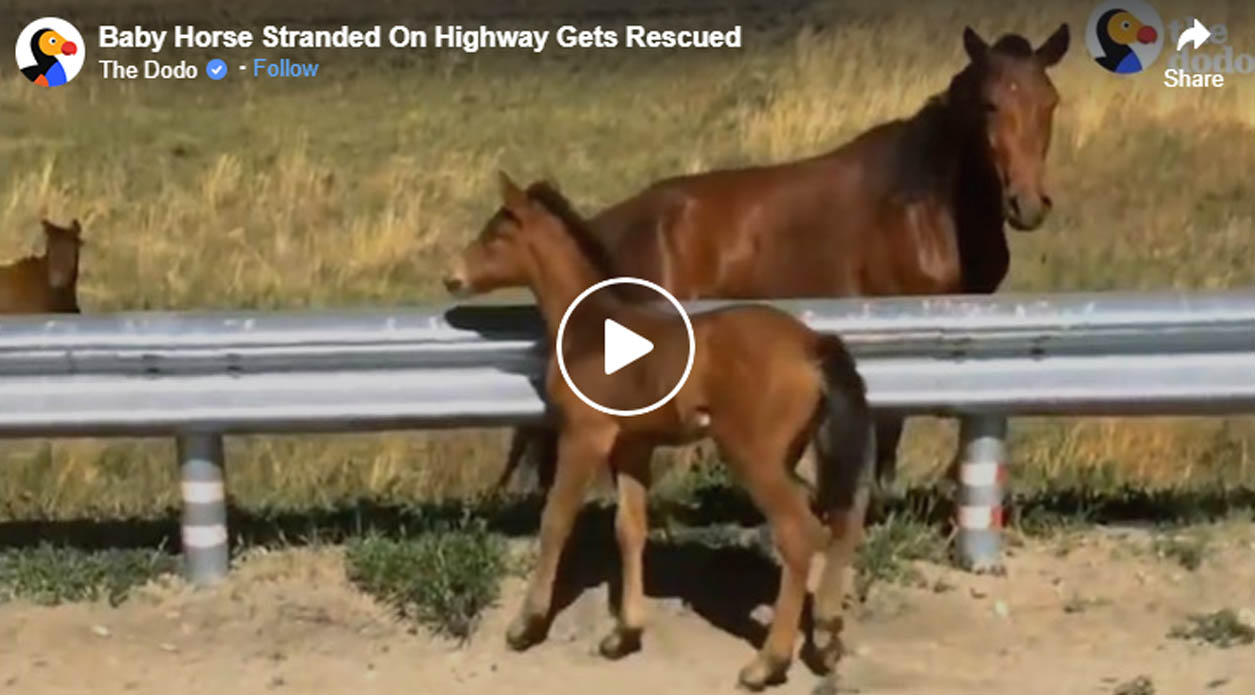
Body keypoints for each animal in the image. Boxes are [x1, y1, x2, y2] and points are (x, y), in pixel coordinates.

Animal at [451, 174, 873, 687]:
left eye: (496, 234)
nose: (453, 276)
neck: (593, 330)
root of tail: (812, 344)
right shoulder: (632, 446)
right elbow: (629, 528)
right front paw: (623, 635)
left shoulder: (585, 435)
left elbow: (556, 521)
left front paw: (525, 626)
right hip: (797, 451)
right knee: (842, 519)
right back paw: (827, 637)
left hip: (753, 455)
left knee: (800, 532)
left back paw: (766, 664)